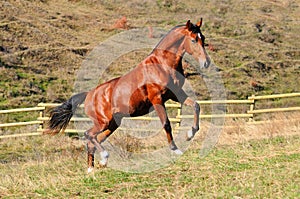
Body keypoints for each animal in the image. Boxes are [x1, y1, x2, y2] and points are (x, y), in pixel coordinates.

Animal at [46, 19, 211, 173]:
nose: (206, 63)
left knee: (94, 140)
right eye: (193, 40)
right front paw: (175, 149)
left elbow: (196, 106)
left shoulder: (176, 94)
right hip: (103, 122)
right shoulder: (157, 98)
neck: (162, 65)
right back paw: (103, 158)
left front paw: (190, 134)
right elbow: (166, 123)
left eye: (203, 38)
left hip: (113, 123)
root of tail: (89, 95)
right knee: (89, 135)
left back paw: (93, 168)